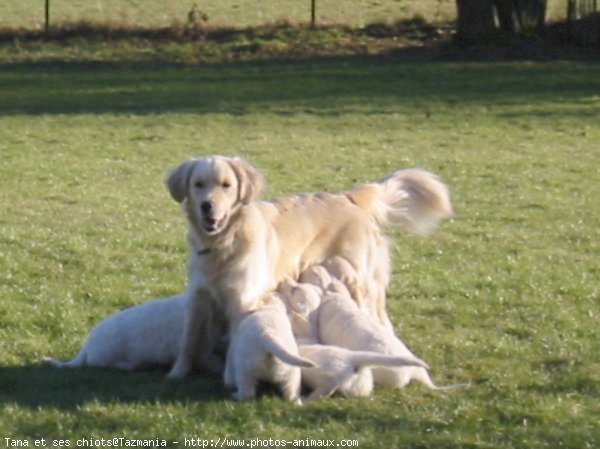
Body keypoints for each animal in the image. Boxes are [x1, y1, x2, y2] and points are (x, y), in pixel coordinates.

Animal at [164, 155, 450, 378]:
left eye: (226, 185)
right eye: (198, 185)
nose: (207, 206)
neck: (224, 242)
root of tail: (348, 198)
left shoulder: (242, 301)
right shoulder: (198, 297)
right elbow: (188, 340)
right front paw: (178, 373)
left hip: (359, 278)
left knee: (378, 316)